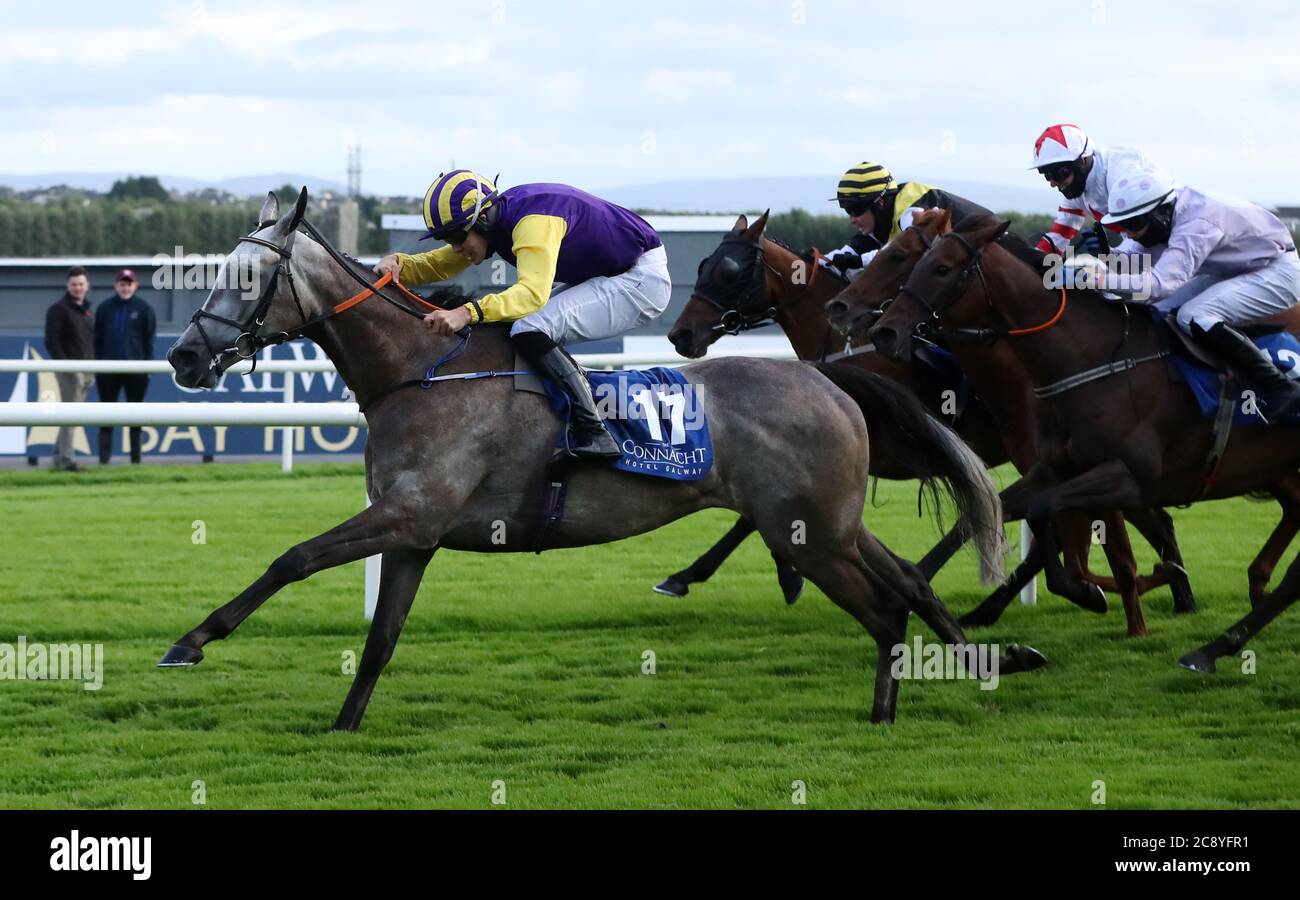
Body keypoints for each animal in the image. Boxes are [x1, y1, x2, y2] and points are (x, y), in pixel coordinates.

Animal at [159, 189, 1045, 733]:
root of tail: (826, 376)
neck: (421, 370)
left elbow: (292, 558)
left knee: (887, 608)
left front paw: (192, 641)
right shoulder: (414, 533)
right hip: (827, 523)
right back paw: (992, 657)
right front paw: (344, 725)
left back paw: (888, 711)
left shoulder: (407, 514)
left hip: (808, 534)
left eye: (248, 275)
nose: (184, 357)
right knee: (910, 582)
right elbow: (380, 638)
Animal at [863, 213, 1300, 665]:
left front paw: (1102, 592)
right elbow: (1005, 513)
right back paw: (1224, 629)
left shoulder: (1132, 478)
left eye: (941, 268)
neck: (1097, 360)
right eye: (915, 264)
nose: (884, 332)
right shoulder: (1055, 468)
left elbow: (1051, 516)